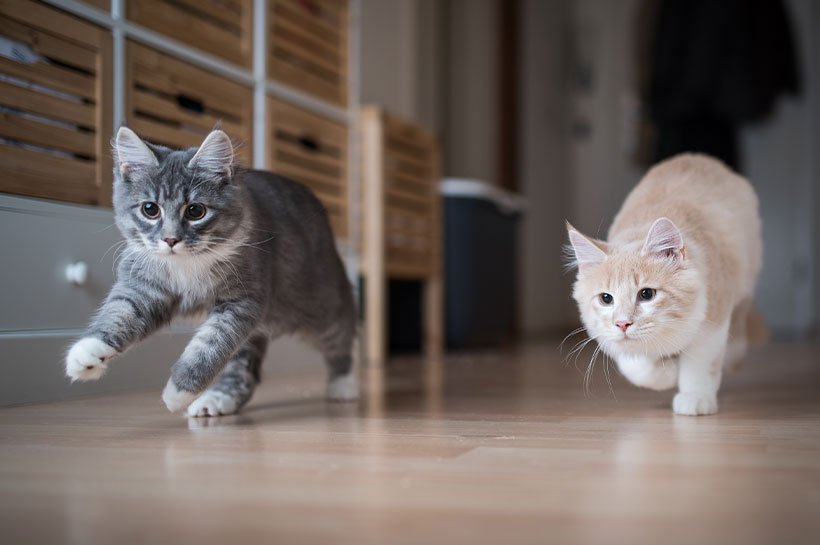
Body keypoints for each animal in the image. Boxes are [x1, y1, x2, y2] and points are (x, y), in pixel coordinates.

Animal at [65, 127, 358, 416]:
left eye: (195, 211)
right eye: (150, 209)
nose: (170, 240)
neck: (186, 265)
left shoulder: (242, 302)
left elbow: (209, 346)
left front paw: (179, 391)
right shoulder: (143, 287)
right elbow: (119, 313)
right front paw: (87, 352)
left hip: (319, 306)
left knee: (343, 335)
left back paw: (344, 384)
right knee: (243, 371)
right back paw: (217, 399)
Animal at [564, 154, 764, 416]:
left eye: (646, 294)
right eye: (606, 298)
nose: (622, 324)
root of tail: (697, 157)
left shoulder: (712, 318)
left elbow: (699, 364)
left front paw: (694, 397)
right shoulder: (608, 338)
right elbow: (637, 366)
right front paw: (666, 372)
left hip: (745, 279)